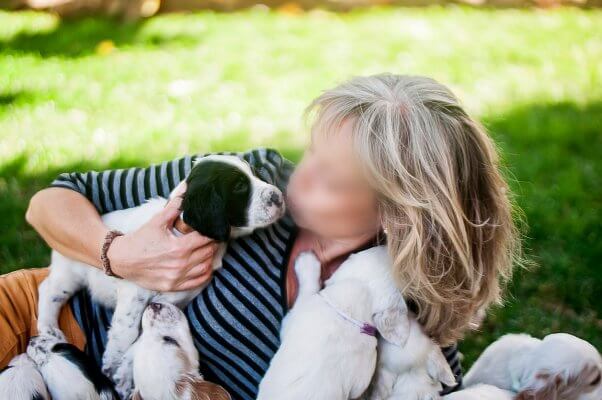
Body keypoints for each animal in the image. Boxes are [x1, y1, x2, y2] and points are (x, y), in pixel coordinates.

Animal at [35, 154, 284, 396]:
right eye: (240, 186)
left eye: (257, 173)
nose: (279, 197)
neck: (181, 231)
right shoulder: (134, 294)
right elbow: (125, 333)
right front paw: (112, 364)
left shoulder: (174, 302)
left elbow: (144, 336)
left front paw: (124, 375)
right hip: (70, 273)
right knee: (48, 290)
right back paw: (48, 328)